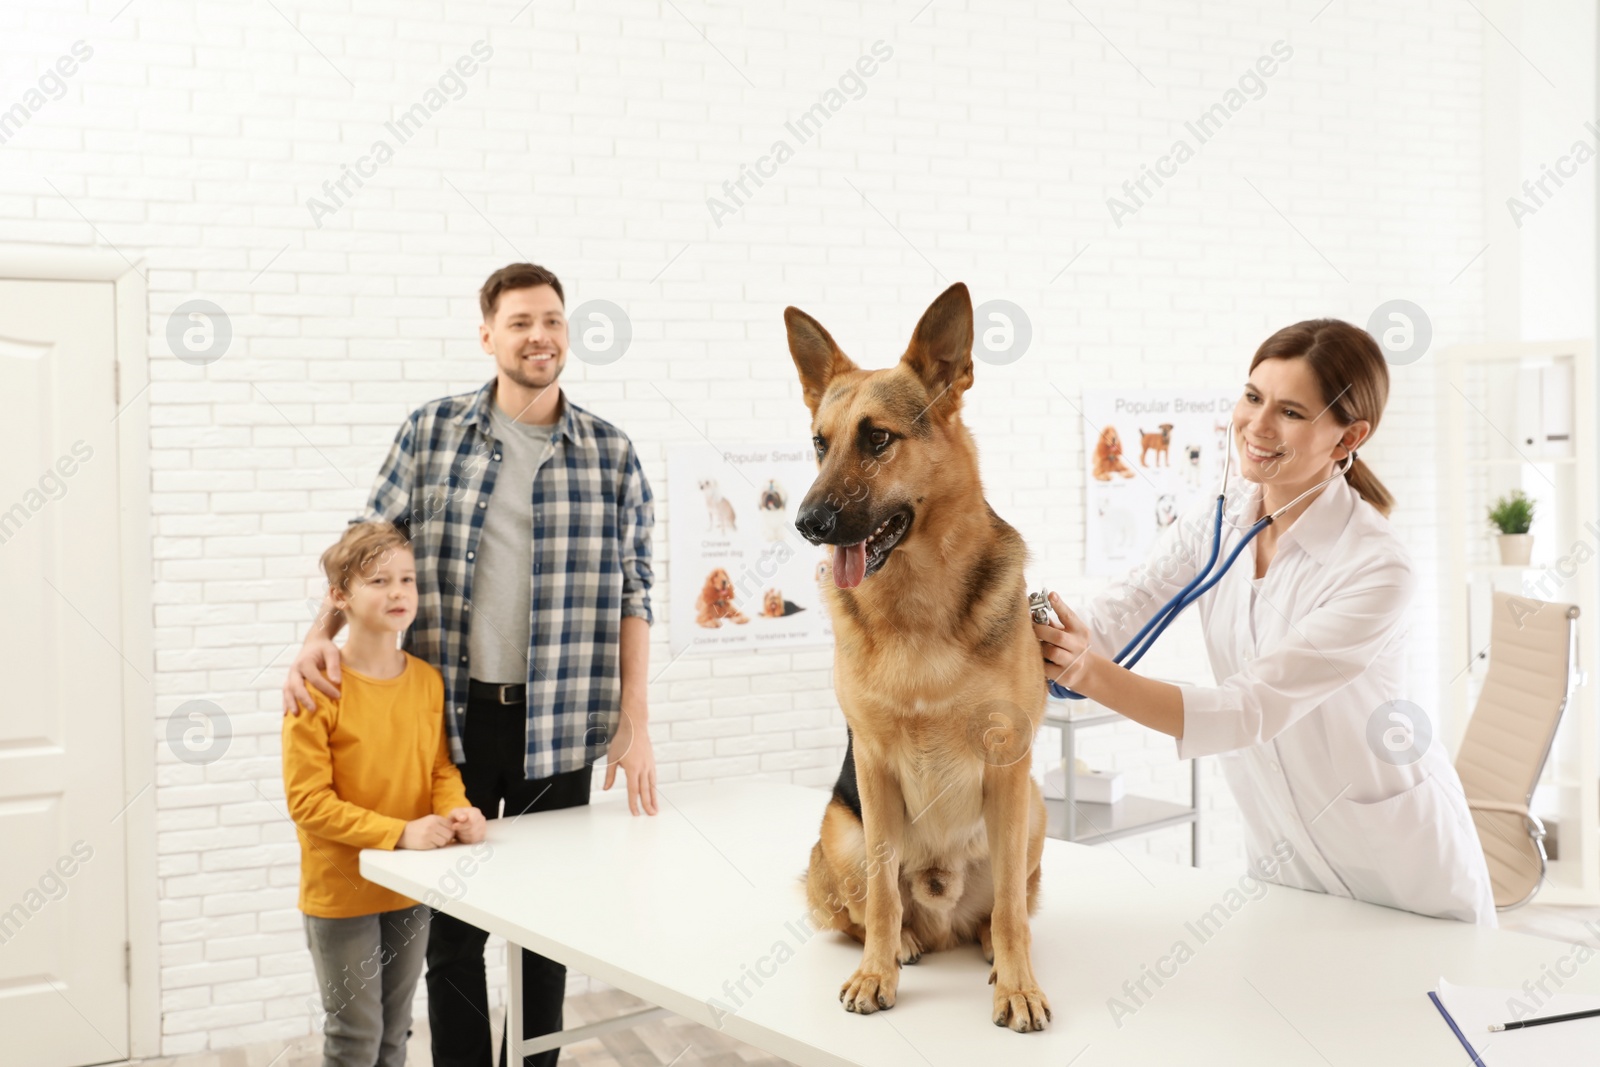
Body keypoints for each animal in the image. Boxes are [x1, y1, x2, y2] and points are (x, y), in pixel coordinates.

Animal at [784, 279, 1049, 1030]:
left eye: (878, 438)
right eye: (819, 444)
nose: (806, 523)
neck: (916, 607)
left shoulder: (1009, 761)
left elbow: (1013, 910)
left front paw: (1018, 984)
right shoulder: (873, 770)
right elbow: (878, 896)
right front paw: (878, 972)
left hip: (1033, 809)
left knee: (1004, 906)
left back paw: (987, 945)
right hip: (839, 831)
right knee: (865, 906)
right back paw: (901, 943)